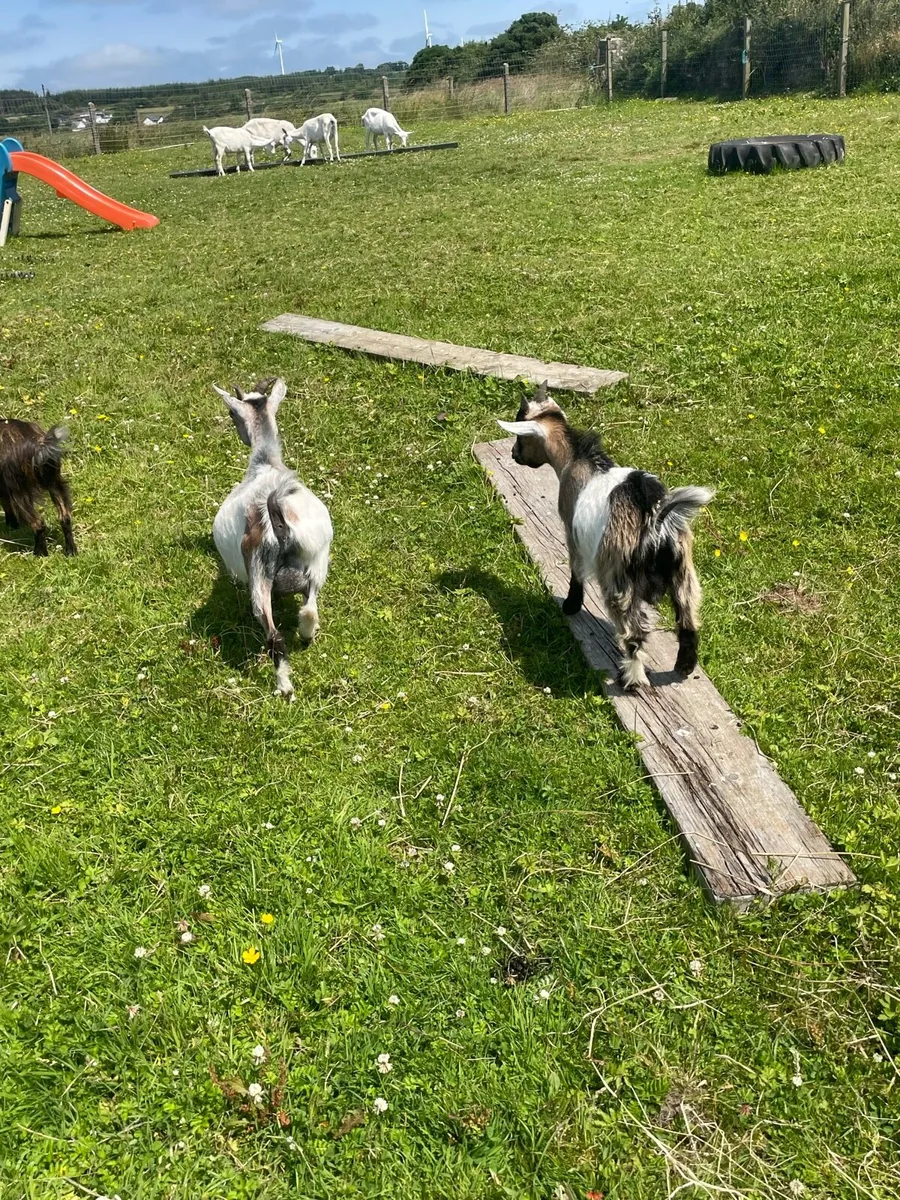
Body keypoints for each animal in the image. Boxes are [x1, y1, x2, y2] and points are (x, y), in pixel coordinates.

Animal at [0, 419, 76, 557]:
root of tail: (40, 447)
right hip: (54, 481)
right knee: (65, 517)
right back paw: (71, 551)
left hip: (19, 491)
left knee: (39, 523)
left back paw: (40, 554)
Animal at [212, 378, 332, 699]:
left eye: (232, 414)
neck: (264, 463)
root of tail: (279, 524)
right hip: (317, 563)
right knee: (310, 609)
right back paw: (307, 636)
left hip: (258, 573)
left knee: (274, 634)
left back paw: (285, 687)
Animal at [498, 382, 713, 690]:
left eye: (520, 436)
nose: (514, 455)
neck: (576, 459)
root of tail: (657, 521)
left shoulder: (572, 532)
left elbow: (576, 571)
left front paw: (571, 605)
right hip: (683, 570)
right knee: (689, 619)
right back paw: (684, 667)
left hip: (618, 575)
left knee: (634, 632)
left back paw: (631, 677)